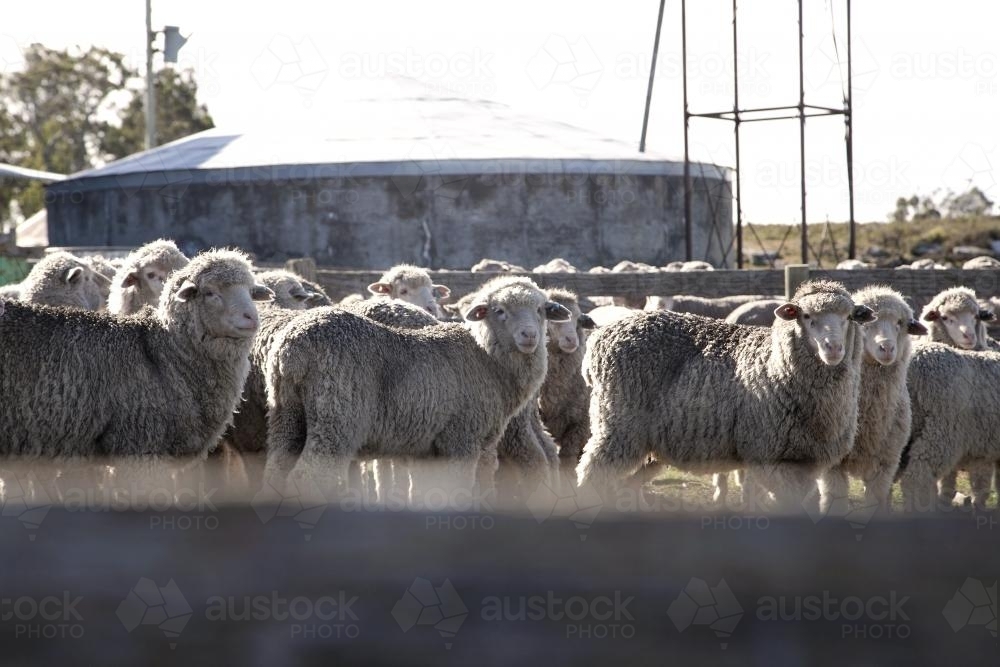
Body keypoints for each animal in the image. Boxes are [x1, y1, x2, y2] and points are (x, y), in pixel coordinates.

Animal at [263, 276, 571, 500]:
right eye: (499, 311)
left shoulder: (433, 449)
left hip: (287, 413)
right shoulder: (461, 439)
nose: (529, 335)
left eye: (541, 310)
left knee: (276, 469)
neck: (486, 358)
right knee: (309, 476)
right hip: (336, 417)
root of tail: (293, 347)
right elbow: (457, 491)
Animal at [577, 280, 874, 511]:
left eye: (849, 318)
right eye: (807, 317)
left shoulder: (806, 463)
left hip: (649, 445)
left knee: (624, 487)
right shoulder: (770, 458)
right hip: (618, 427)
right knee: (591, 477)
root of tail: (601, 335)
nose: (833, 348)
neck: (775, 364)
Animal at [818, 286, 927, 516]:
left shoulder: (885, 465)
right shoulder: (832, 466)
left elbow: (874, 503)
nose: (886, 348)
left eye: (900, 323)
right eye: (866, 322)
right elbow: (835, 500)